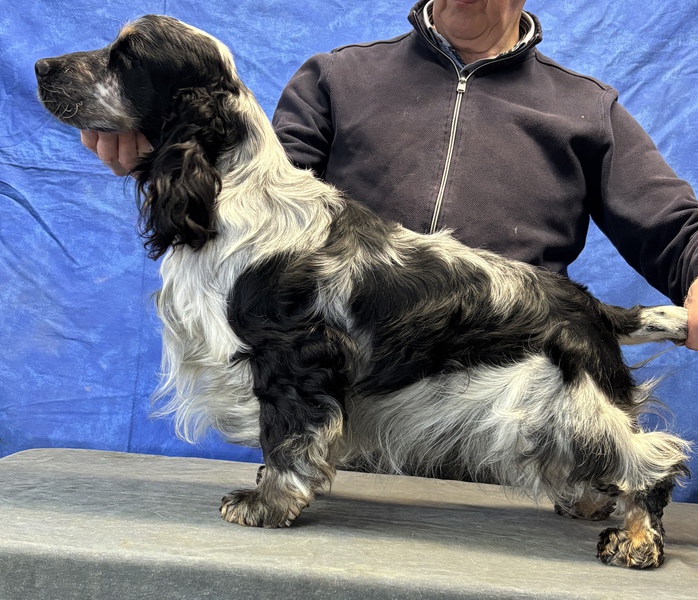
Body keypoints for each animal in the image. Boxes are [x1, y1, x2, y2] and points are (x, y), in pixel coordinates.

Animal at [36, 15, 691, 568]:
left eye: (126, 56)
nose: (41, 66)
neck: (231, 185)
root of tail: (594, 306)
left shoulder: (291, 355)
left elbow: (287, 437)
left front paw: (266, 505)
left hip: (566, 400)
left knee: (655, 458)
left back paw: (636, 539)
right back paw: (589, 502)